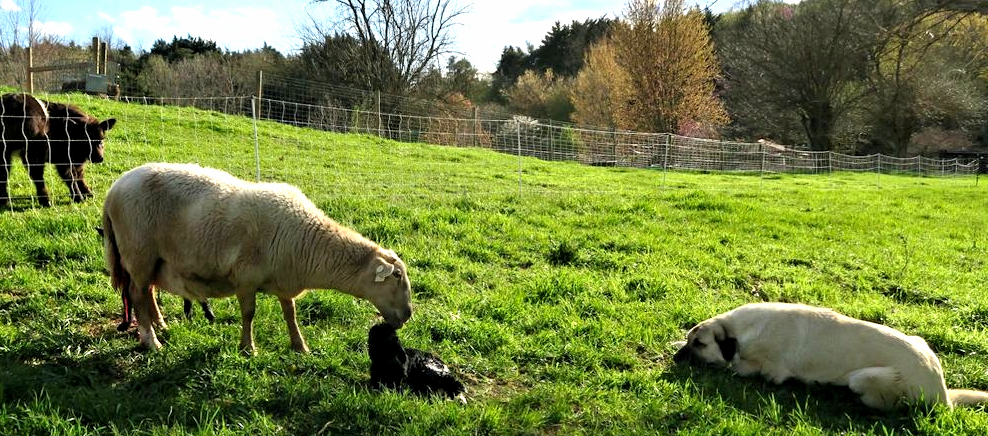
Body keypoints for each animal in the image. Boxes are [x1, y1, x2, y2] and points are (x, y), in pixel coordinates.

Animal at [99, 162, 410, 352]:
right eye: (396, 277)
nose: (408, 315)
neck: (306, 242)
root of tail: (114, 189)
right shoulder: (245, 278)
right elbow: (249, 314)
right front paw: (248, 348)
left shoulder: (284, 281)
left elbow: (290, 313)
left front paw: (300, 346)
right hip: (138, 252)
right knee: (137, 294)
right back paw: (152, 341)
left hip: (154, 259)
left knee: (148, 291)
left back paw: (161, 325)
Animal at [672, 302, 988, 410]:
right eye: (691, 340)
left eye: (700, 344)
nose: (675, 360)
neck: (740, 331)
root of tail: (943, 393)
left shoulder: (769, 370)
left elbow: (735, 367)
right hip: (920, 341)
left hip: (862, 378)